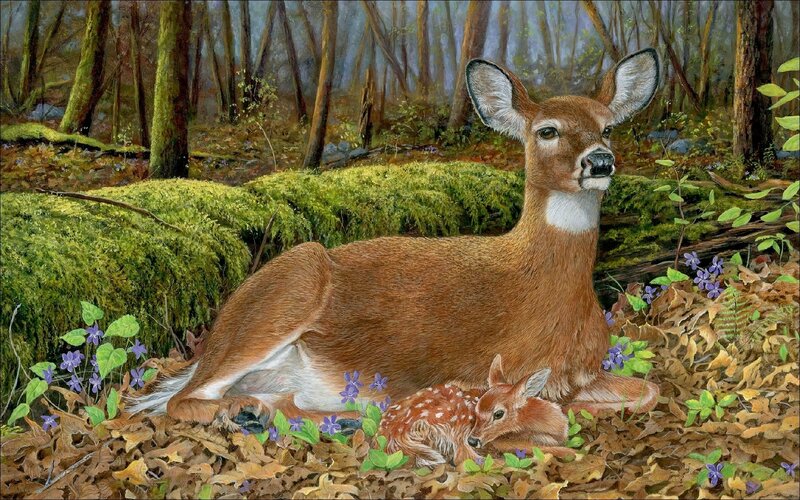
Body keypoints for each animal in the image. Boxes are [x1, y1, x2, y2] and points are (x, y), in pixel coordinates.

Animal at [129, 48, 662, 435]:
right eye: (547, 131)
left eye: (608, 127)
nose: (600, 160)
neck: (548, 289)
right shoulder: (481, 372)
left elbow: (648, 391)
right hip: (290, 284)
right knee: (180, 399)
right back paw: (261, 413)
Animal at [380, 355, 569, 467]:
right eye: (476, 410)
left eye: (498, 414)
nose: (473, 440)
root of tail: (390, 431)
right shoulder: (503, 441)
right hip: (454, 420)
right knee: (465, 458)